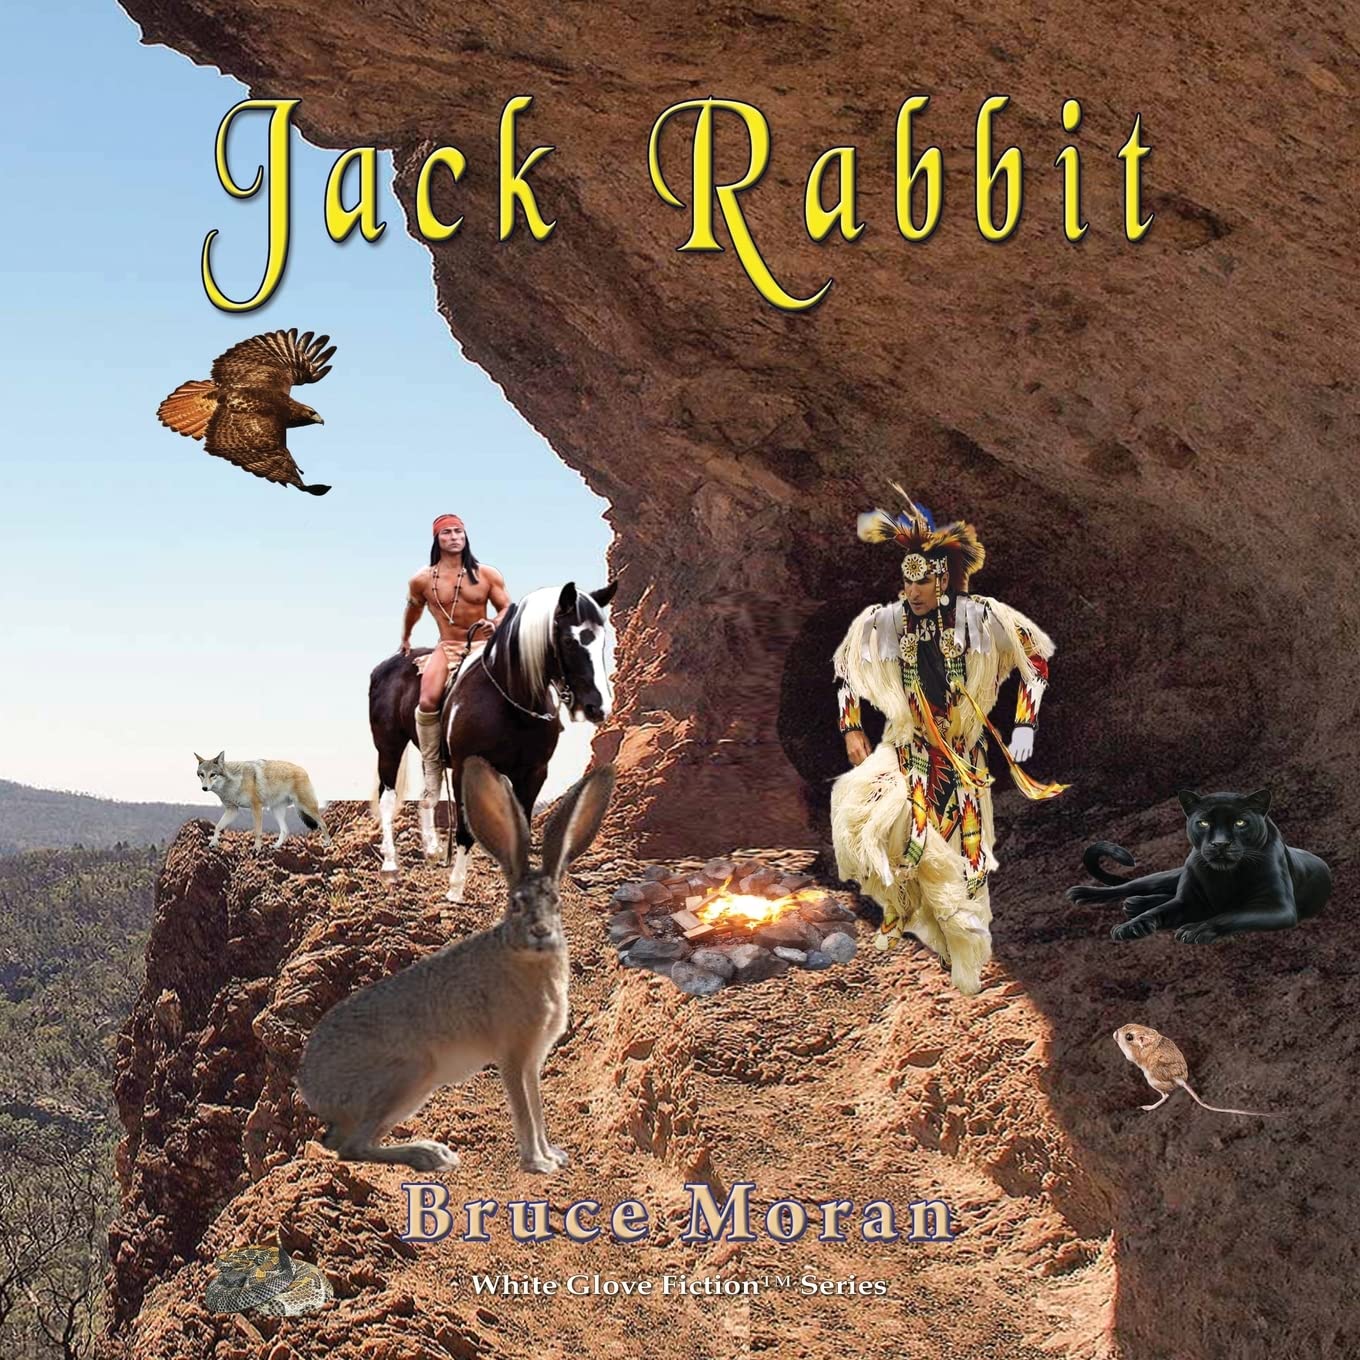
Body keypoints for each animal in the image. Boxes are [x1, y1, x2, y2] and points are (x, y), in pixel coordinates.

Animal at [296, 755, 616, 1174]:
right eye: (515, 904)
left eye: (557, 903)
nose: (541, 933)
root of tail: (310, 1089)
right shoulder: (513, 1055)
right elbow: (523, 1111)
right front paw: (537, 1163)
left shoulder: (533, 1060)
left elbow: (537, 1107)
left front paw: (553, 1155)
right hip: (409, 1075)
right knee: (352, 1147)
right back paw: (427, 1155)